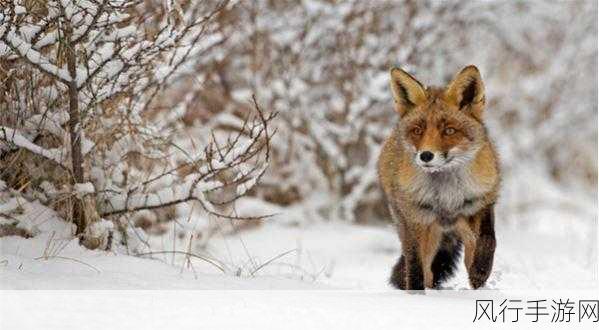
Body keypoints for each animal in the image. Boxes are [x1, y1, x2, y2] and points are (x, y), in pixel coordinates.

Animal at [380, 65, 502, 290]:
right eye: (418, 130)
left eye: (449, 130)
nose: (426, 155)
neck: (446, 195)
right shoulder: (416, 219)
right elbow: (415, 266)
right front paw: (416, 293)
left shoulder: (480, 204)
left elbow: (489, 241)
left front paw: (480, 272)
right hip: (423, 232)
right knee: (427, 271)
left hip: (460, 229)